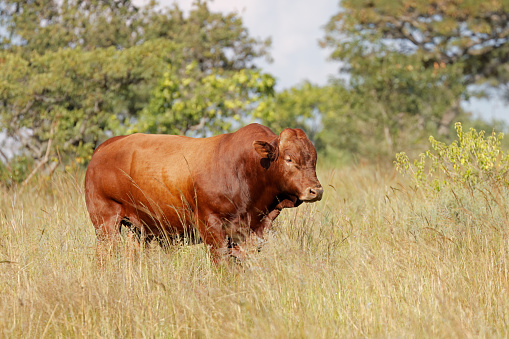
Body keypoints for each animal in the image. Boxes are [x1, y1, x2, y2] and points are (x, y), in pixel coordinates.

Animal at [83, 124, 322, 262]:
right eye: (288, 159)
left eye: (314, 158)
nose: (315, 190)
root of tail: (103, 147)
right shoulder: (211, 226)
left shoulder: (254, 232)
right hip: (105, 223)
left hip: (139, 229)